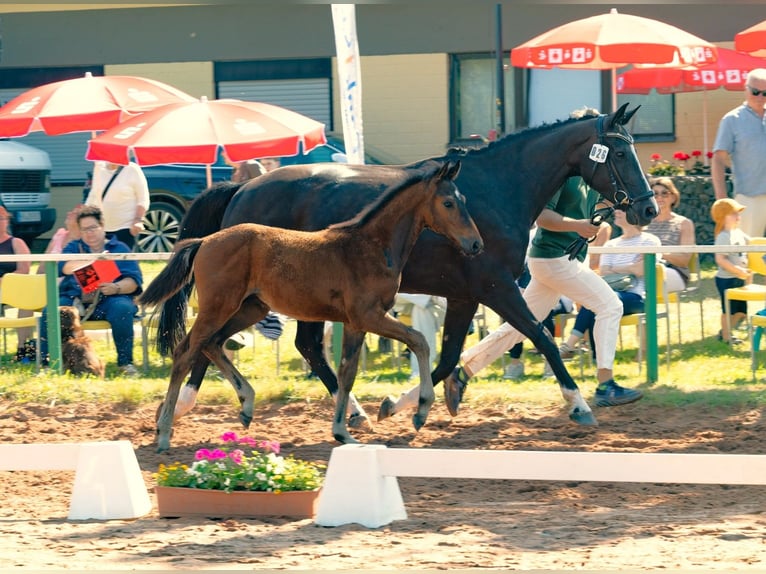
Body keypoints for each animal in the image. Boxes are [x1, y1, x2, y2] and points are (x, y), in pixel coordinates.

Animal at [141, 160, 484, 452]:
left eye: (464, 199)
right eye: (448, 203)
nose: (476, 244)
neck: (371, 246)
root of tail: (204, 242)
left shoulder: (355, 323)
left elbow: (347, 372)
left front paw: (343, 432)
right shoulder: (369, 315)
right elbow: (420, 341)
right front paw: (421, 411)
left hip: (250, 308)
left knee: (212, 343)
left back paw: (246, 404)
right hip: (218, 307)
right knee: (185, 352)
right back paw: (165, 432)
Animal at [158, 101, 660, 430]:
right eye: (619, 152)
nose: (648, 208)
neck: (496, 191)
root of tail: (241, 188)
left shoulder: (463, 295)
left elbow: (449, 355)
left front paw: (405, 403)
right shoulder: (495, 286)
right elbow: (542, 338)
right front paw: (579, 405)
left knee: (296, 346)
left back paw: (353, 412)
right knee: (216, 340)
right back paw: (184, 406)